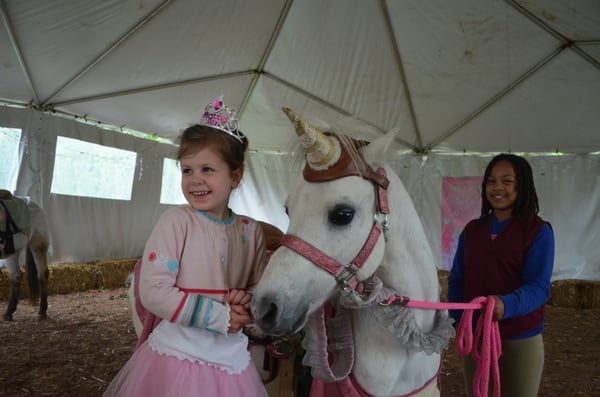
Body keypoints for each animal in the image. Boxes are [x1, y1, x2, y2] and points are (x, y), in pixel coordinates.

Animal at [0, 190, 49, 320]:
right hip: (12, 252)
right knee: (16, 276)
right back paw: (9, 312)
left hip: (38, 246)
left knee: (42, 274)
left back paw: (42, 312)